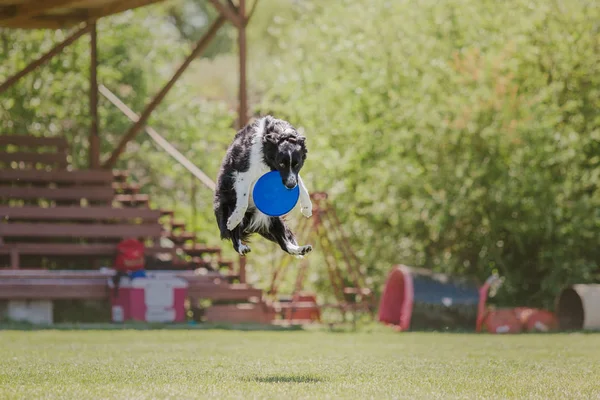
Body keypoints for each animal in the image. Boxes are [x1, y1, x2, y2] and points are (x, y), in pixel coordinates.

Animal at [213, 115, 312, 256]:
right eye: (281, 163)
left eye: (297, 164)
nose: (290, 186)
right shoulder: (243, 174)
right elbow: (242, 204)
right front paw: (233, 221)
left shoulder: (291, 175)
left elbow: (302, 188)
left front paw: (307, 208)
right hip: (227, 204)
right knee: (234, 236)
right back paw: (241, 246)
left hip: (272, 216)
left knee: (284, 243)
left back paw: (301, 249)